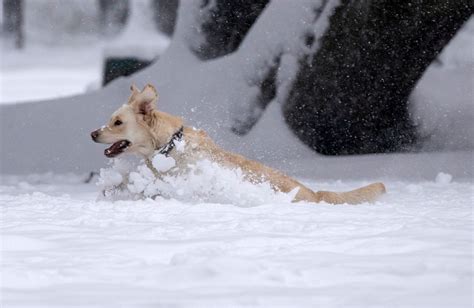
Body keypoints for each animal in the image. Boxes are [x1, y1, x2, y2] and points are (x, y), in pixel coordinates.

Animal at [91, 84, 386, 205]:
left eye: (117, 122)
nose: (93, 133)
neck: (169, 147)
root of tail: (316, 194)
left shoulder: (182, 179)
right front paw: (111, 188)